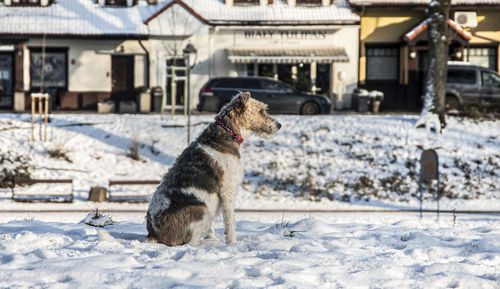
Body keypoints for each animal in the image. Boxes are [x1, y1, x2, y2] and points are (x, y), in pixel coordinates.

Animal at [146, 92, 284, 245]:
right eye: (261, 111)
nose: (279, 125)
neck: (228, 132)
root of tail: (153, 234)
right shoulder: (227, 191)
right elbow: (230, 223)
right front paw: (232, 243)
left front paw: (212, 237)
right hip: (202, 210)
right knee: (190, 242)